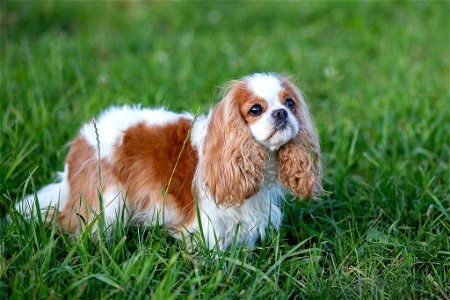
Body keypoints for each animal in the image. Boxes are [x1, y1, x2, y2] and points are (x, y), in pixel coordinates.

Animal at [14, 72, 324, 248]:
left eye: (290, 103)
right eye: (256, 109)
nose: (281, 113)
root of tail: (81, 139)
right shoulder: (206, 222)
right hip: (106, 200)